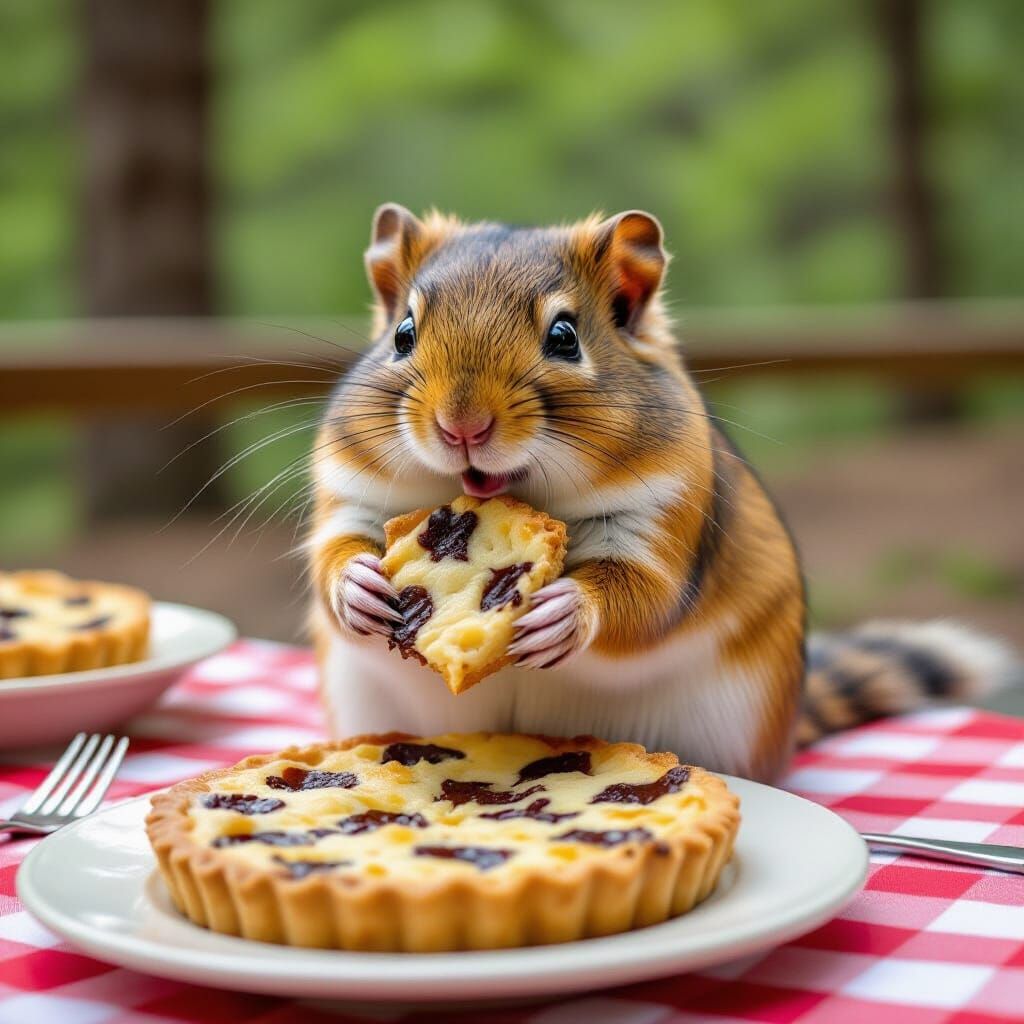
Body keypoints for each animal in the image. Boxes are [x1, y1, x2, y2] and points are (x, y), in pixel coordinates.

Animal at [307, 204, 1017, 782]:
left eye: (564, 337)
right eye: (402, 333)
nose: (463, 426)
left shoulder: (663, 516)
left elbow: (641, 598)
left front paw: (565, 612)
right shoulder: (349, 491)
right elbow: (332, 551)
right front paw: (359, 588)